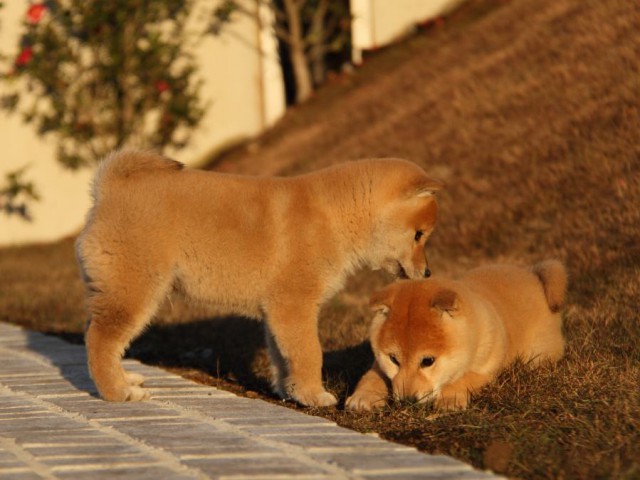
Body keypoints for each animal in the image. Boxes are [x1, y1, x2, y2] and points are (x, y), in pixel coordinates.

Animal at [76, 149, 444, 404]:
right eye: (419, 235)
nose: (427, 272)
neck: (335, 216)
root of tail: (108, 191)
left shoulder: (277, 310)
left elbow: (282, 356)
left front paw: (289, 391)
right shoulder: (295, 305)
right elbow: (309, 353)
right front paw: (315, 394)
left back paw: (127, 379)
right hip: (133, 292)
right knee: (100, 340)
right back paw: (118, 392)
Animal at [344, 260, 564, 410]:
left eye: (427, 361)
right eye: (393, 360)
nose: (407, 401)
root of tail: (532, 275)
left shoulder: (485, 370)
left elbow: (463, 379)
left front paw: (449, 399)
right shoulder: (378, 364)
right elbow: (371, 377)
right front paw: (364, 397)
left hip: (537, 355)